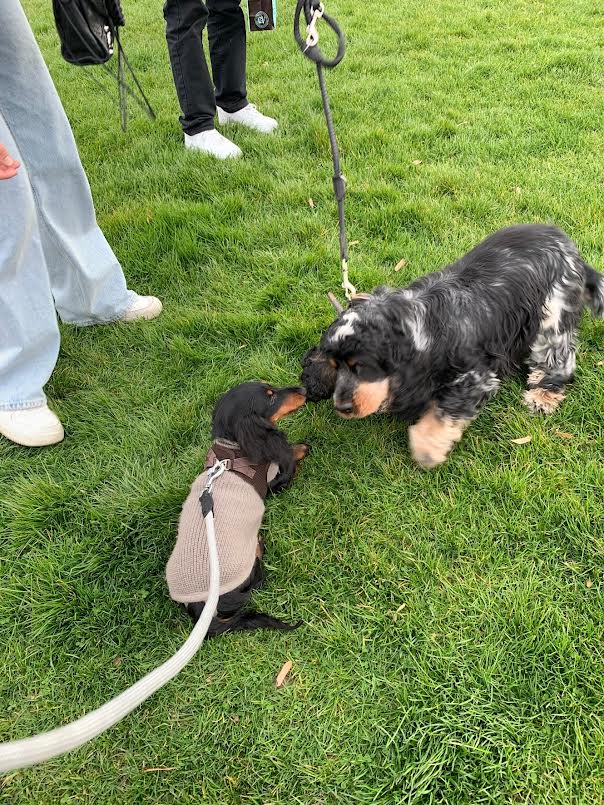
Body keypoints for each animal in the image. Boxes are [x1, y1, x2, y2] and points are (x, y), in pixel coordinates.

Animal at [165, 382, 306, 636]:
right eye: (270, 398)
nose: (303, 389)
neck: (232, 452)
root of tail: (200, 608)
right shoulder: (272, 484)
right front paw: (300, 449)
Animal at [302, 223, 604, 468]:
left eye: (361, 367)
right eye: (335, 365)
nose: (342, 407)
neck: (416, 327)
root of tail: (572, 250)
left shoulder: (476, 376)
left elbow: (444, 413)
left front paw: (426, 451)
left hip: (552, 313)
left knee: (559, 356)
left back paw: (543, 395)